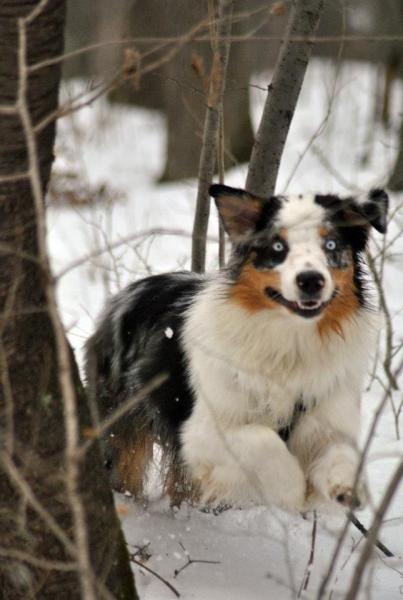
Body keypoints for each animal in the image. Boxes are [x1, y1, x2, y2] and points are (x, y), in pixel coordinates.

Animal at [84, 184, 388, 510]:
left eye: (331, 244)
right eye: (277, 247)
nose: (311, 280)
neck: (290, 341)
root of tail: (120, 297)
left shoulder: (327, 413)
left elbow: (339, 451)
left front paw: (348, 488)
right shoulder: (201, 430)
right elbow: (264, 442)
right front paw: (291, 494)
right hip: (122, 425)